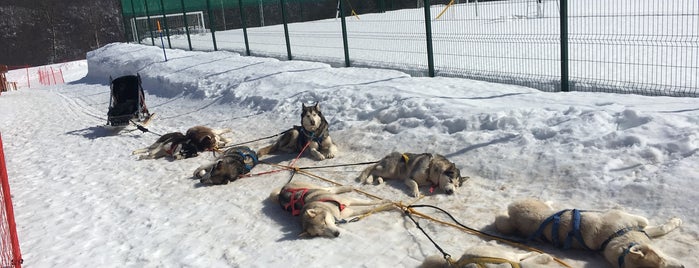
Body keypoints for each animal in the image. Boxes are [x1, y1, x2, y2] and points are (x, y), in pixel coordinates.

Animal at [494, 199, 688, 268]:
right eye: (662, 261)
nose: (683, 266)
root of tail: (513, 215)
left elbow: (653, 228)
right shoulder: (626, 220)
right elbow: (649, 223)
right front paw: (676, 221)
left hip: (508, 223)